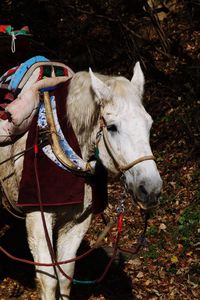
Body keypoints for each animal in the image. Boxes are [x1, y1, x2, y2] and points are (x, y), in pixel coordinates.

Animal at [0, 62, 162, 298]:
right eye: (112, 127)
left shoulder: (78, 222)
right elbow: (49, 281)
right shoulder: (37, 219)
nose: (151, 189)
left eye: (149, 124)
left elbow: (65, 276)